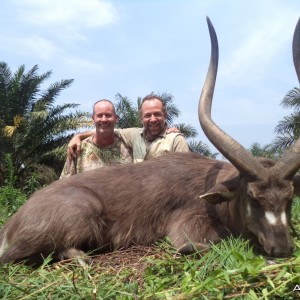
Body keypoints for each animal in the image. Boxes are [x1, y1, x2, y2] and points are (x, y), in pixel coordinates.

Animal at [0, 18, 300, 264]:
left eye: (289, 198)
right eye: (253, 197)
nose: (281, 249)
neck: (210, 183)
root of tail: (12, 224)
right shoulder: (188, 229)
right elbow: (191, 247)